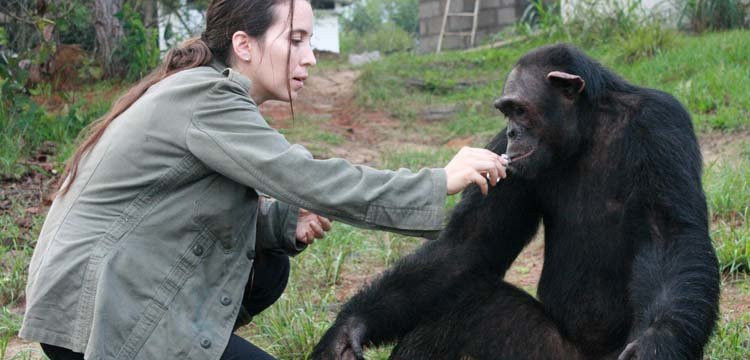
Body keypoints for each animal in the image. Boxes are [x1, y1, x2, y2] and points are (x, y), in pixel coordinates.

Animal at [312, 43, 724, 358]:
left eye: (520, 109)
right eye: (506, 112)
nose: (512, 132)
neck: (585, 130)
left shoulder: (660, 126)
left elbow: (668, 233)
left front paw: (656, 343)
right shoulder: (500, 156)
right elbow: (467, 246)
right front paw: (347, 330)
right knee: (463, 304)